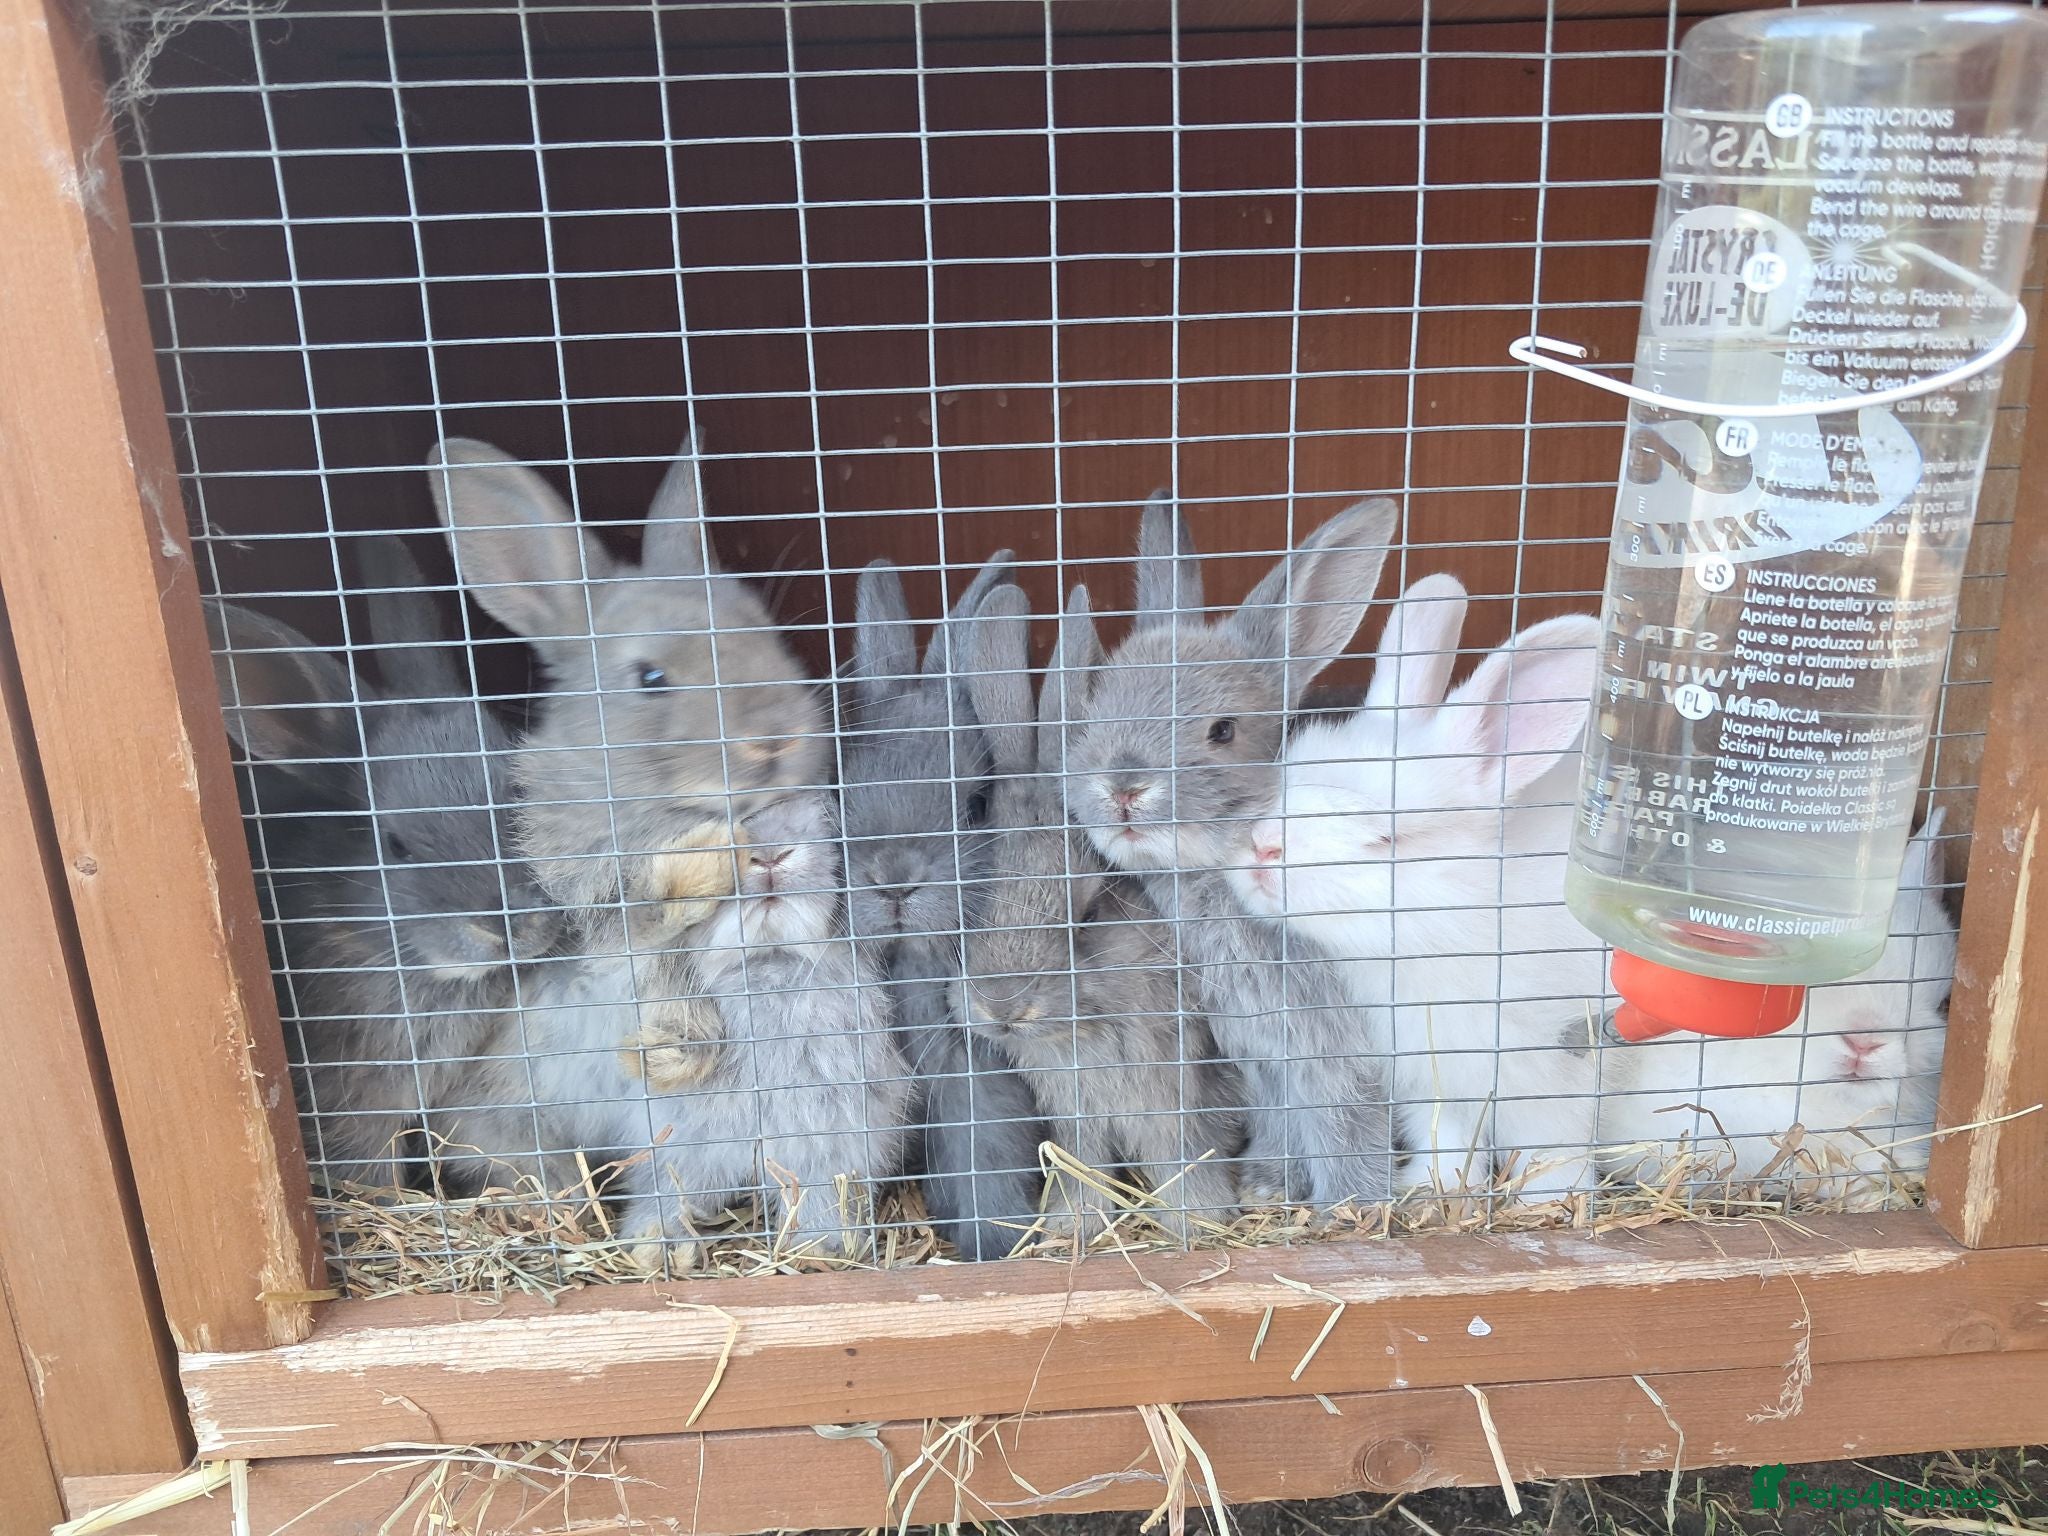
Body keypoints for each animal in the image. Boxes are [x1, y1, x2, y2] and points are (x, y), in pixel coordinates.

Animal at [957, 581, 1244, 1242]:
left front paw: (1201, 1222)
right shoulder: (1074, 1113)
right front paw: (1072, 1225)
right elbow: (1081, 1164)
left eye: (1088, 915)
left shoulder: (1173, 1091)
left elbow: (1181, 1155)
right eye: (972, 896)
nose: (1001, 1008)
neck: (1082, 1032)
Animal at [1059, 493, 1401, 1210]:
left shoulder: (1331, 1040)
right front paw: (1269, 1184)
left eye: (1223, 731)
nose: (1124, 788)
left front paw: (1354, 1205)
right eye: (1095, 711)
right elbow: (1284, 1114)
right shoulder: (1261, 1050)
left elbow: (1346, 1113)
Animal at [1228, 575, 1612, 1199]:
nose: (1262, 846)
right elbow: (1446, 1137)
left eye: (1386, 837)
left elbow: (1553, 1148)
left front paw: (1551, 1200)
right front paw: (1435, 1188)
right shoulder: (1429, 1080)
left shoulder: (1562, 1076)